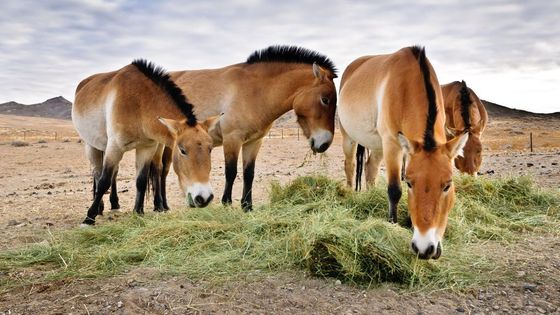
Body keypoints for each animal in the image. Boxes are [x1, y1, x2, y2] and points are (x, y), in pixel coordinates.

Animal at [72, 59, 214, 227]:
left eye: (210, 148)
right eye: (182, 150)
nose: (204, 197)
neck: (140, 104)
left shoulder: (147, 148)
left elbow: (141, 180)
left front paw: (138, 212)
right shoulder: (115, 147)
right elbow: (103, 181)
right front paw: (89, 218)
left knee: (113, 173)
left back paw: (114, 204)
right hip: (92, 145)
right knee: (97, 173)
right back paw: (99, 208)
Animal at [158, 45, 336, 212]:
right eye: (325, 100)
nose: (324, 144)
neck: (254, 91)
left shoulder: (254, 142)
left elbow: (248, 173)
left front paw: (247, 206)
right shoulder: (232, 139)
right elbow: (231, 172)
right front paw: (227, 203)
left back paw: (164, 206)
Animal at [340, 46, 470, 260]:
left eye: (447, 185)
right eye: (409, 183)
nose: (425, 249)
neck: (408, 87)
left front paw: (410, 222)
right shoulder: (393, 144)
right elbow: (394, 190)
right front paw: (393, 224)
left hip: (378, 146)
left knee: (370, 168)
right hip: (349, 137)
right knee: (350, 166)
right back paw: (350, 194)